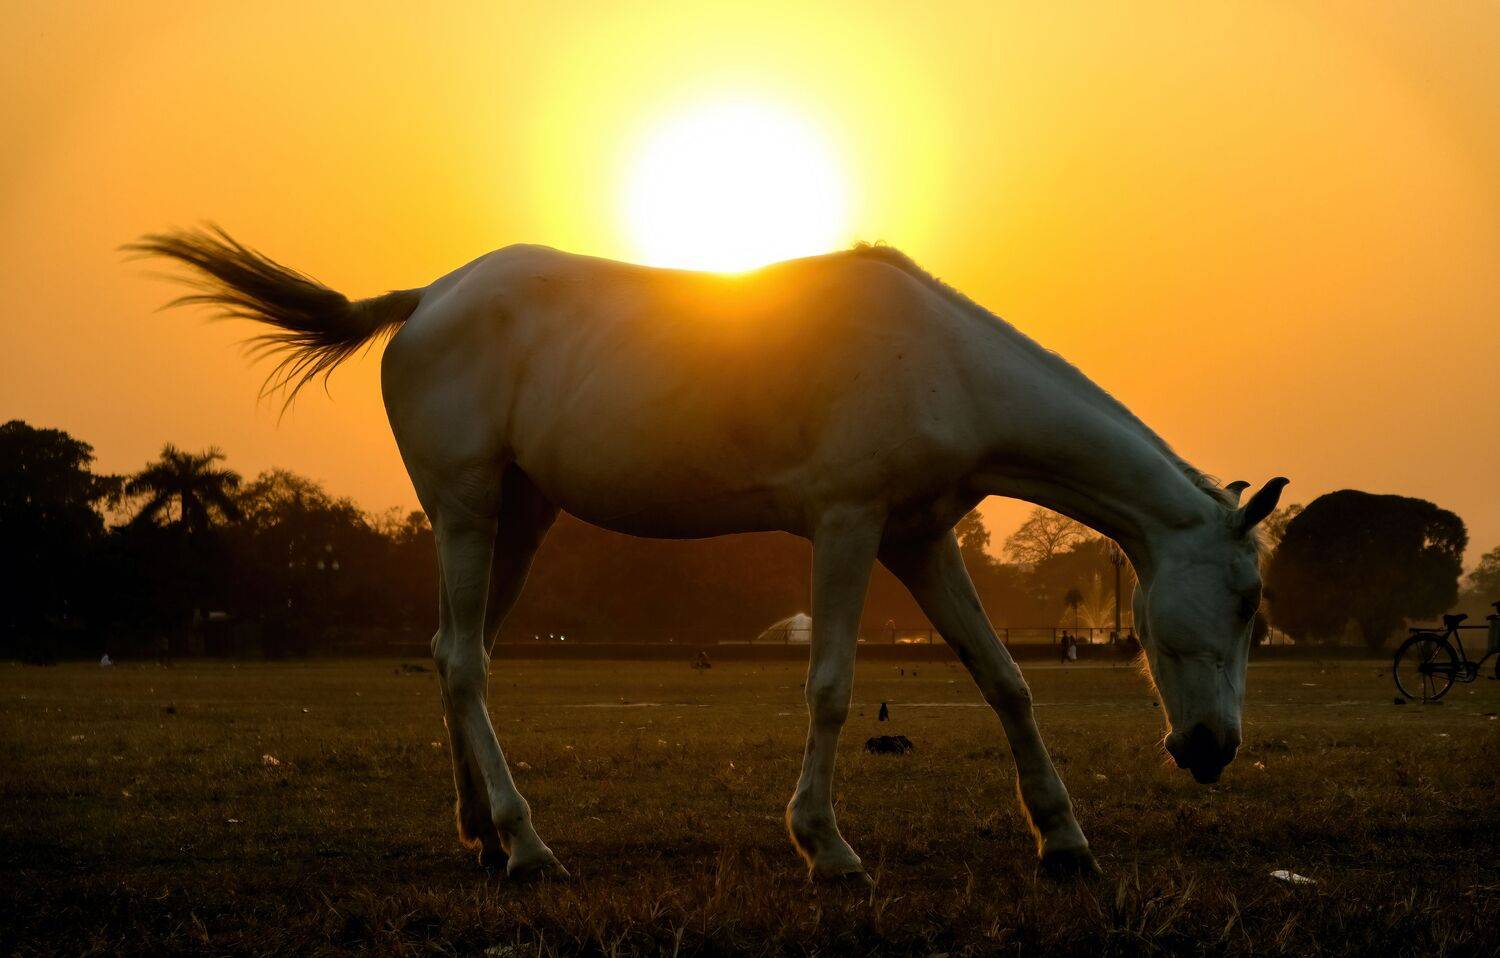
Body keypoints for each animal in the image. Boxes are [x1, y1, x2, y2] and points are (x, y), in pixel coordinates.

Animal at [131, 228, 1286, 883]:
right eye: (1246, 603)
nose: (1211, 750)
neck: (941, 361)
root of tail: (428, 299)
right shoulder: (848, 525)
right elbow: (831, 686)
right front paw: (825, 846)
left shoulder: (918, 538)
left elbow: (1005, 681)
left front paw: (1064, 840)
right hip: (464, 508)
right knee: (462, 663)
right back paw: (529, 846)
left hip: (517, 518)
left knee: (459, 657)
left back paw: (485, 834)